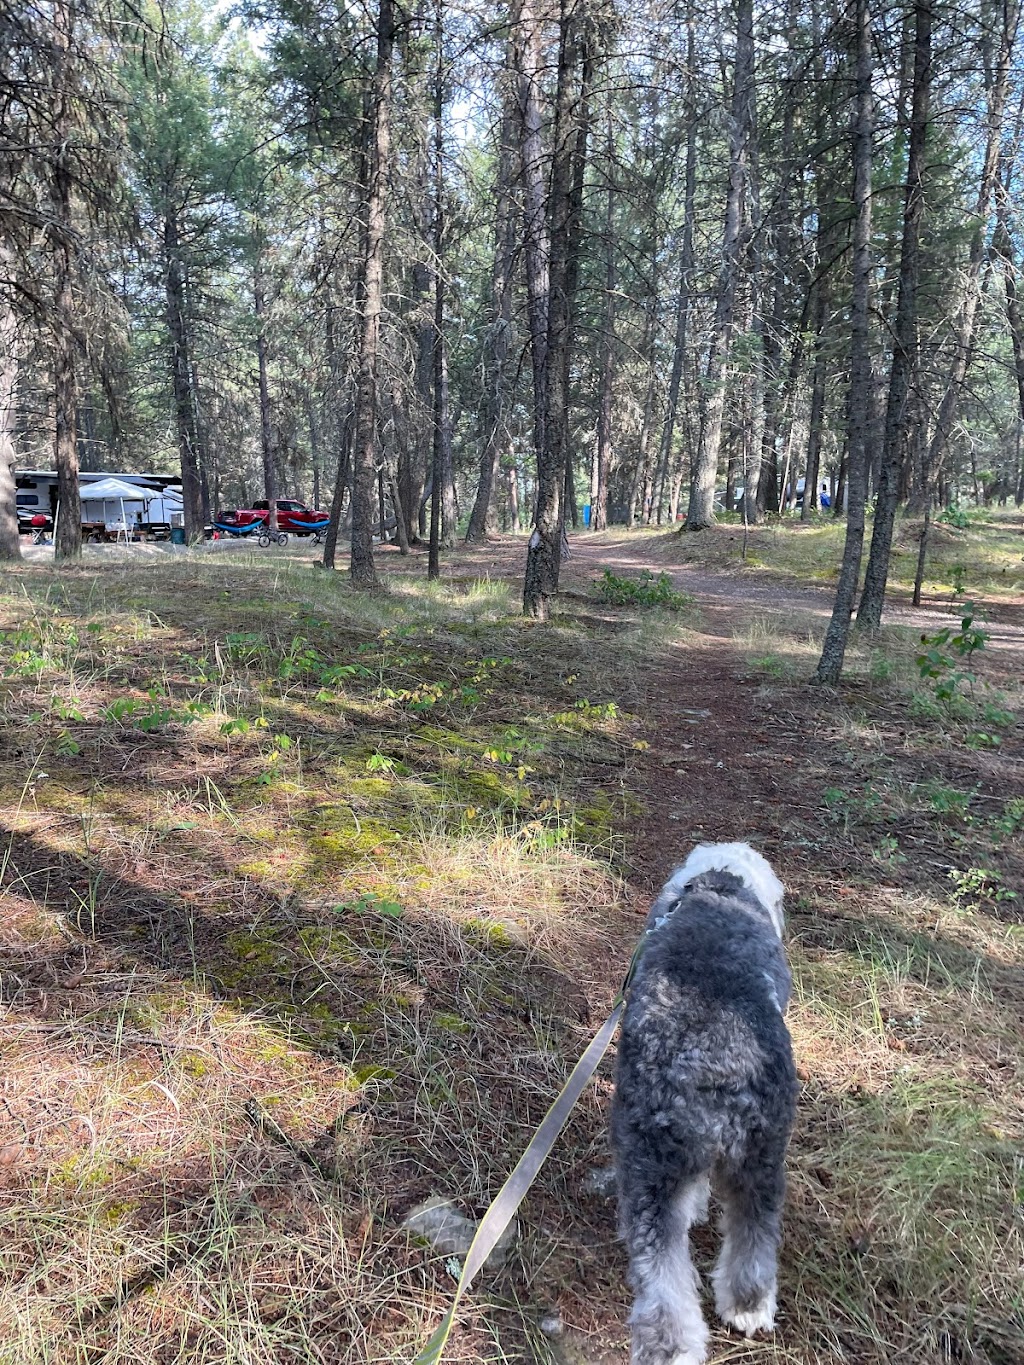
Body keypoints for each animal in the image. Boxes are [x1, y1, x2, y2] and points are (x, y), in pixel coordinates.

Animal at [608, 840, 802, 1365]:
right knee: (753, 1233)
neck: (719, 887)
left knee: (663, 1263)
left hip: (657, 1161)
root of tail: (715, 1065)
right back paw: (746, 1308)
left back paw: (676, 1342)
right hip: (757, 1157)